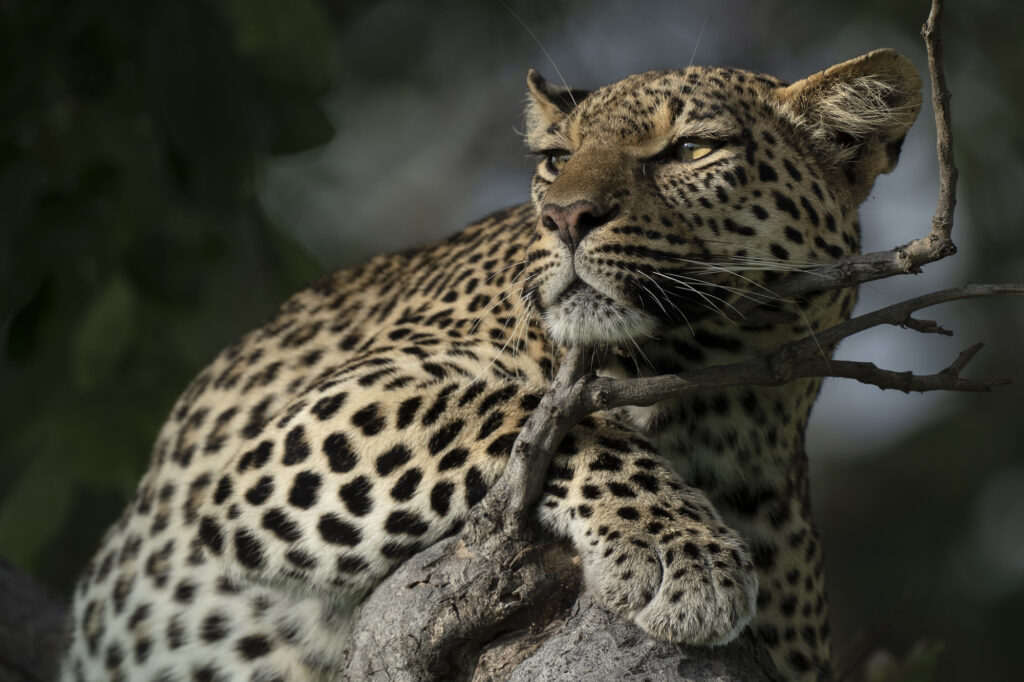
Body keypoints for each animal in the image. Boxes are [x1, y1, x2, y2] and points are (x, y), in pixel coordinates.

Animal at [62, 49, 921, 681]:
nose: (565, 216)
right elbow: (526, 415)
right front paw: (679, 550)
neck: (720, 401)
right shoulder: (300, 429)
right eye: (556, 158)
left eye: (691, 150)